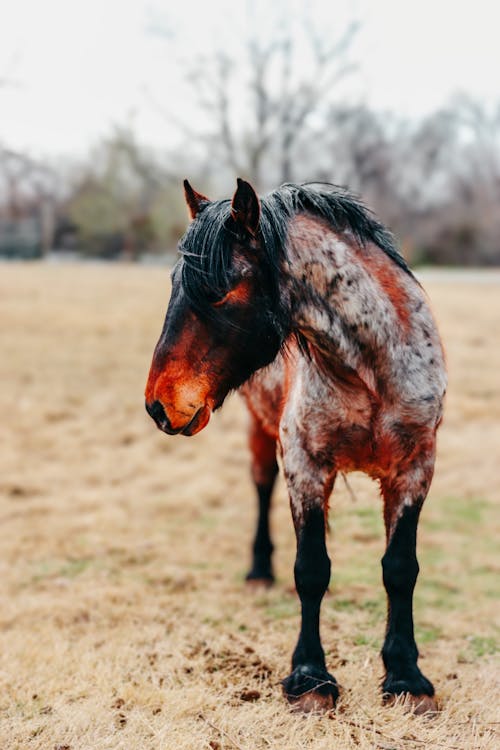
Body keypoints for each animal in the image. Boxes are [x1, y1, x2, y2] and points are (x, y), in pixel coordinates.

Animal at [144, 178, 446, 716]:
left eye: (218, 291)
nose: (159, 404)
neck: (370, 374)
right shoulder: (304, 466)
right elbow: (311, 570)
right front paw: (310, 679)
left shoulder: (415, 469)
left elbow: (400, 569)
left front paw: (406, 677)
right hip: (261, 434)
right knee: (261, 487)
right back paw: (259, 570)